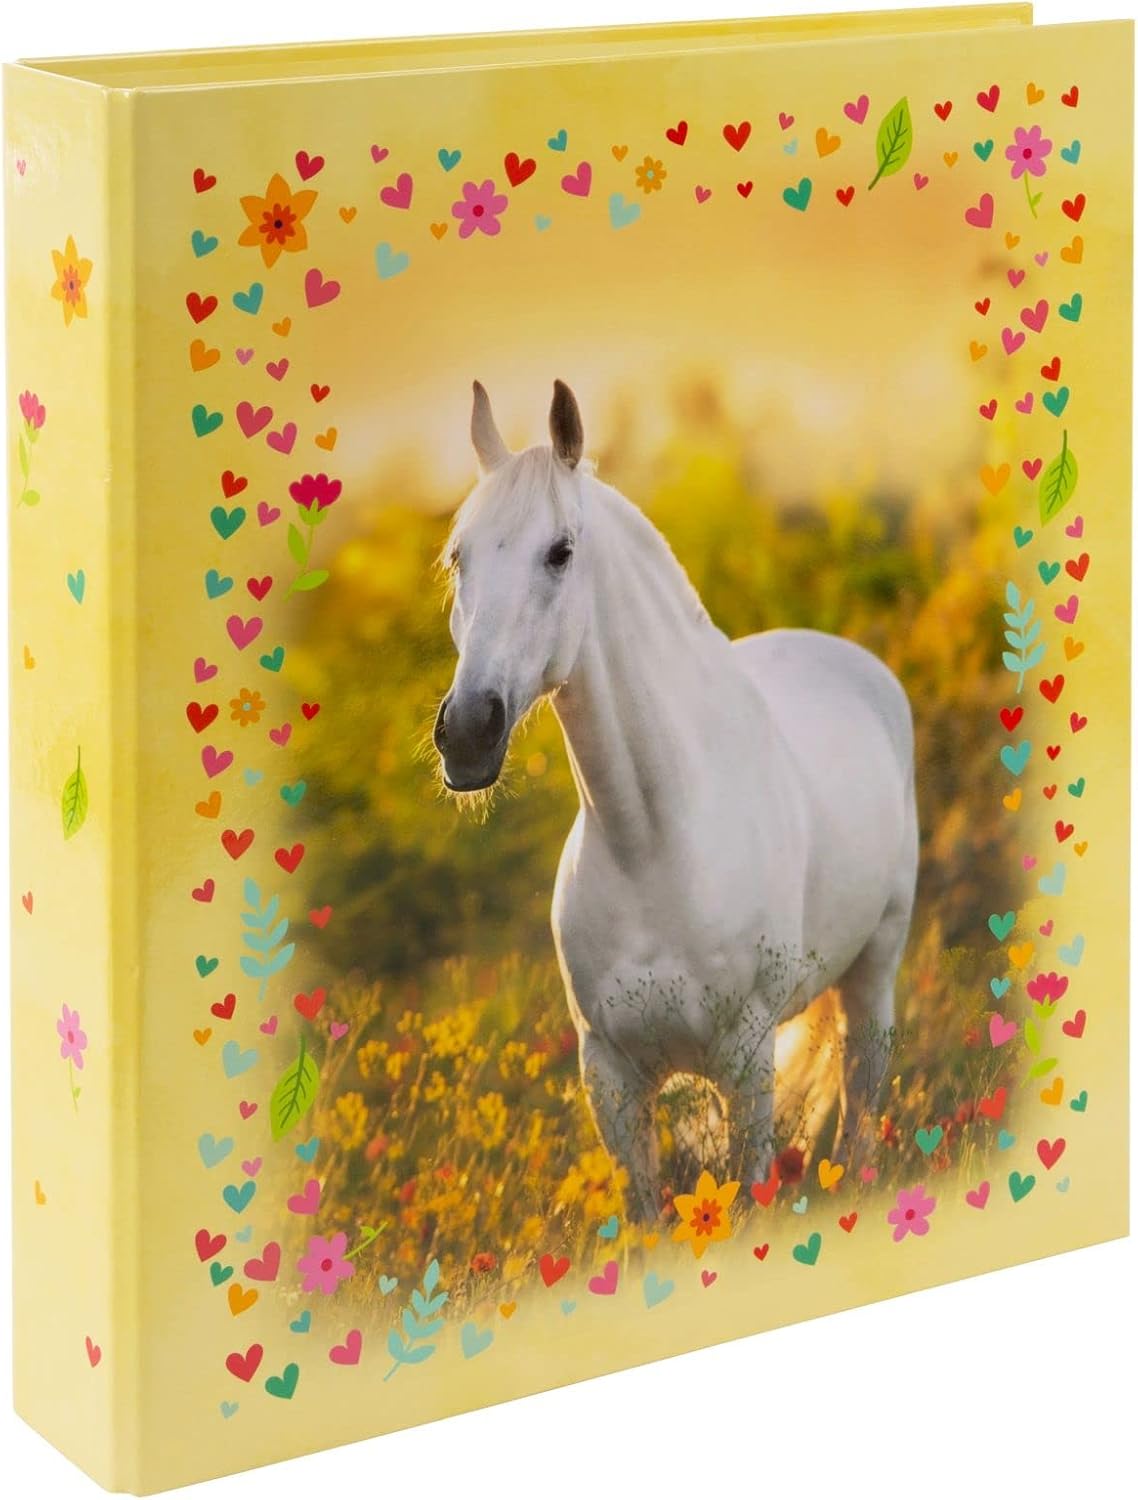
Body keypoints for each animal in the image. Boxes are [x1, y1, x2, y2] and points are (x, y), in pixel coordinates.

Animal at [432, 380, 919, 1222]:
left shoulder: (746, 1063)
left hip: (873, 978)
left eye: (560, 551)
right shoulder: (612, 1079)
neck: (653, 843)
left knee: (862, 1108)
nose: (467, 733)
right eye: (459, 556)